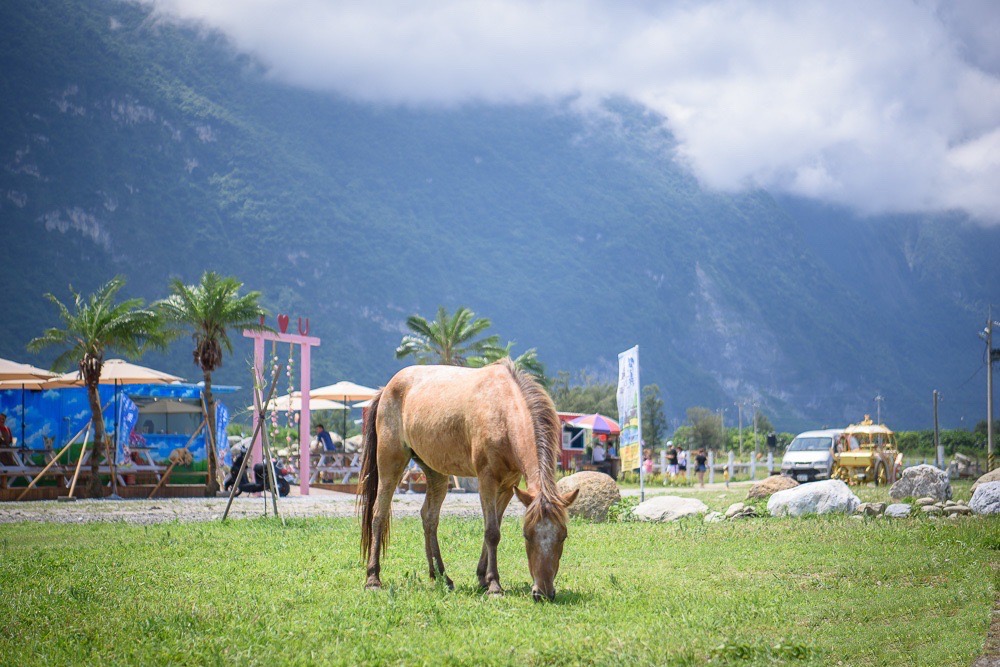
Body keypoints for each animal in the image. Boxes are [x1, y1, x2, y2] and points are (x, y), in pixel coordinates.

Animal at [360, 360, 580, 600]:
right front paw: (494, 585)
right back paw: (373, 578)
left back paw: (441, 576)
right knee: (379, 515)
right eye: (527, 535)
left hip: (436, 472)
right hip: (390, 463)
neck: (502, 410)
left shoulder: (507, 486)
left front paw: (483, 577)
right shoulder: (487, 480)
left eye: (563, 536)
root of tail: (386, 389)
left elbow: (494, 527)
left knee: (429, 518)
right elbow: (492, 532)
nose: (543, 592)